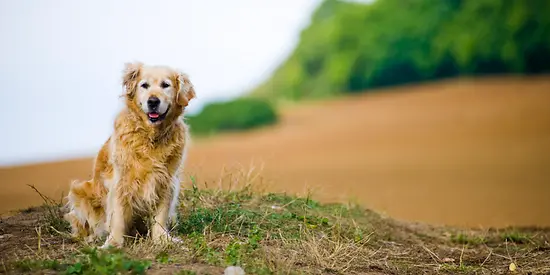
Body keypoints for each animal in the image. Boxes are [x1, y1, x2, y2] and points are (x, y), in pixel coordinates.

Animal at [64, 61, 196, 249]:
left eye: (166, 85)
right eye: (144, 85)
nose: (153, 101)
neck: (150, 136)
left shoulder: (166, 180)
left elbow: (160, 215)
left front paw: (162, 239)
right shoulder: (120, 182)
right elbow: (118, 217)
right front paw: (113, 243)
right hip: (80, 191)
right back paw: (93, 237)